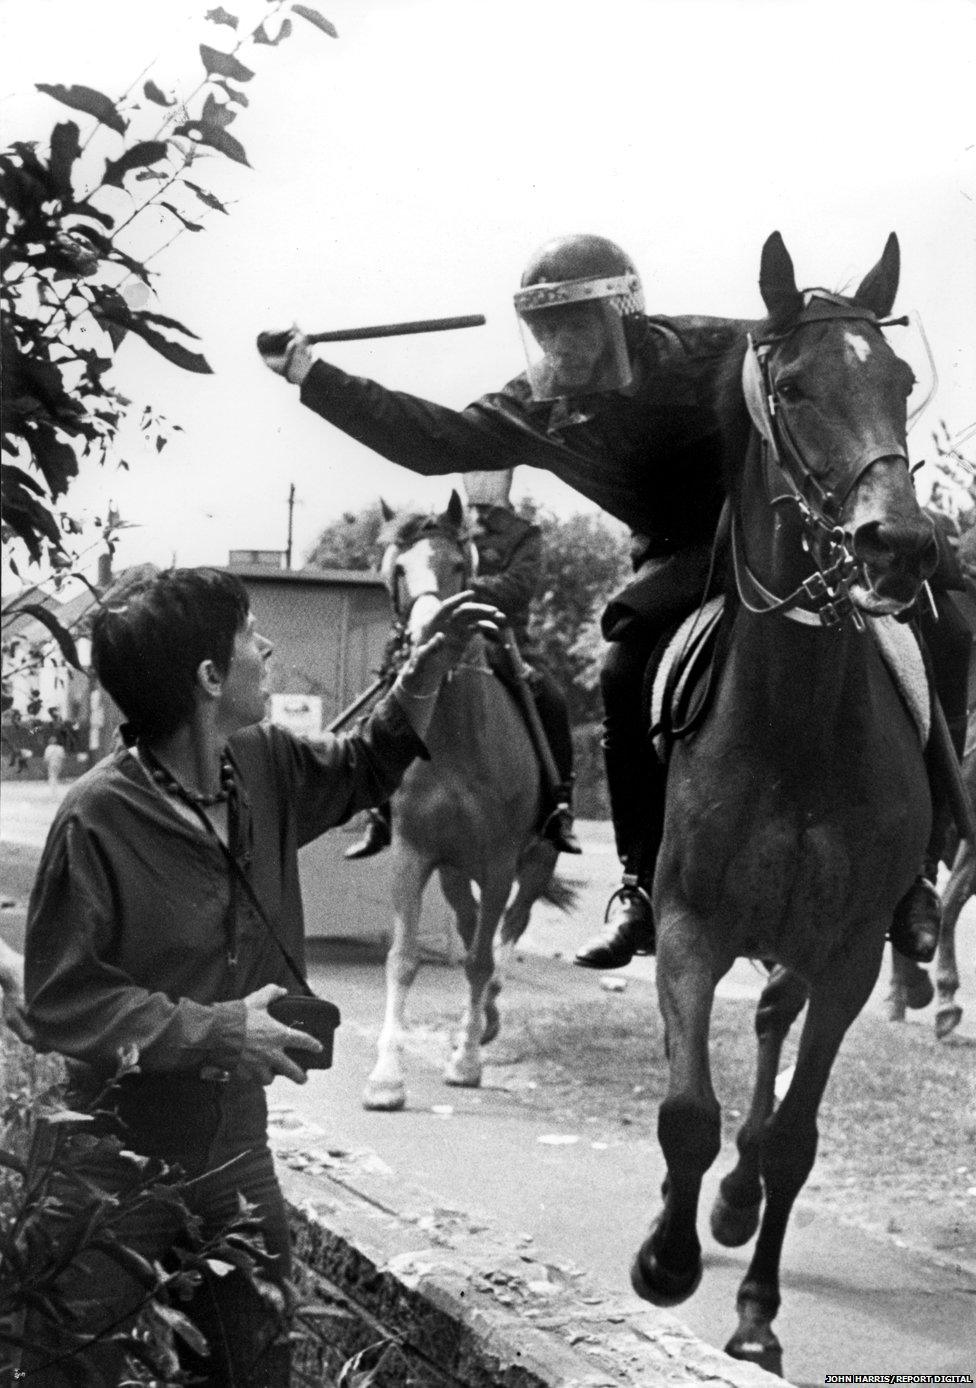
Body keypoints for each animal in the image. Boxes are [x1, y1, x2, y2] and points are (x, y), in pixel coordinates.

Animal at [360, 494, 558, 1110]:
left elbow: (478, 960)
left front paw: (467, 1063)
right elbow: (403, 959)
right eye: (399, 570)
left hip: (533, 865)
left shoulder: (498, 864)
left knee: (505, 934)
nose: (428, 634)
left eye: (456, 566)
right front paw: (386, 1078)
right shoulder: (413, 853)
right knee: (473, 926)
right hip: (452, 872)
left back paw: (485, 1017)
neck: (454, 741)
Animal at [630, 233, 944, 1371]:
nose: (899, 544)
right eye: (797, 386)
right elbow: (686, 1107)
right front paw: (666, 1258)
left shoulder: (847, 955)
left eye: (897, 384)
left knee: (772, 1036)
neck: (797, 726)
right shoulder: (689, 926)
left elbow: (793, 1137)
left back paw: (733, 1203)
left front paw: (756, 1314)